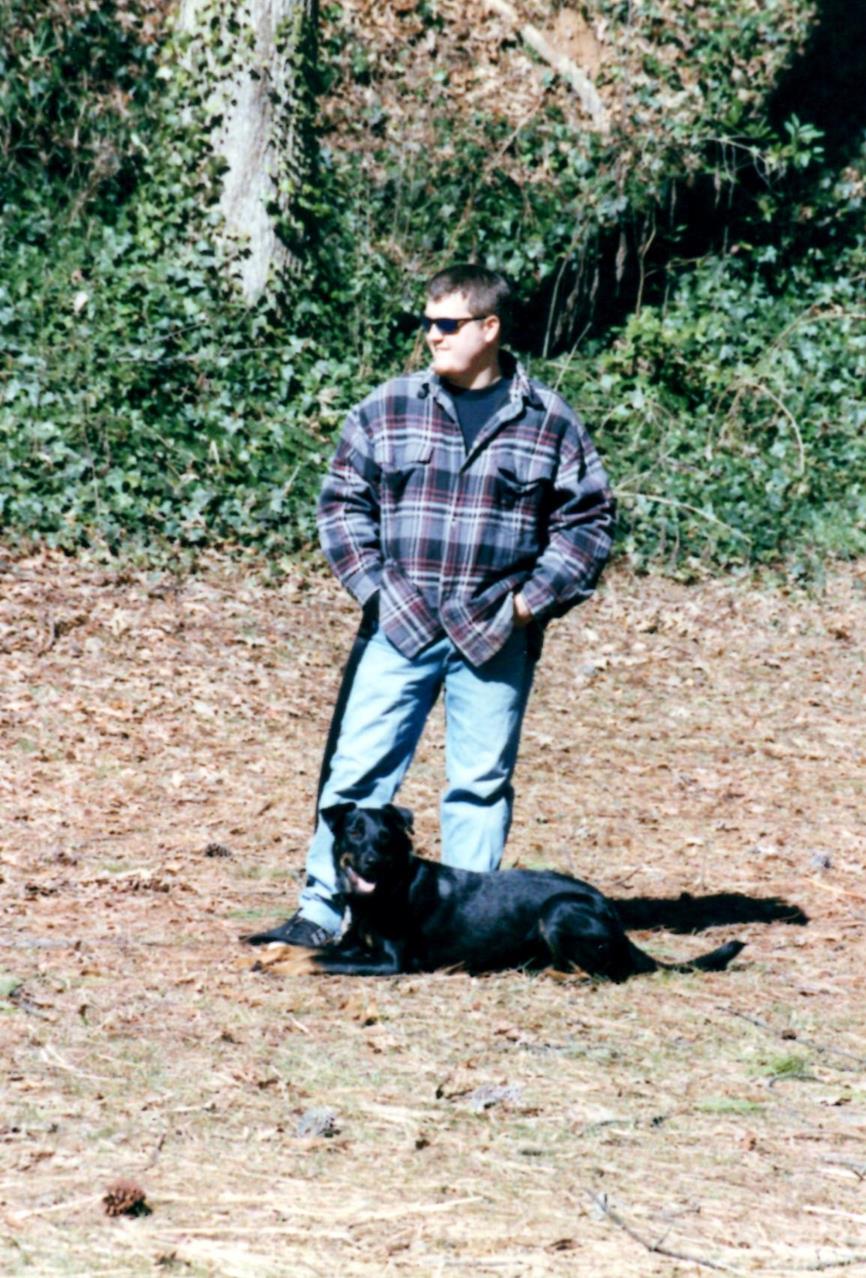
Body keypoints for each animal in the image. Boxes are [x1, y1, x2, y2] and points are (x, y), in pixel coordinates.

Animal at [258, 802, 745, 981]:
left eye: (387, 839)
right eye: (354, 833)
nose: (371, 862)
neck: (384, 892)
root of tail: (615, 918)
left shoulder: (390, 962)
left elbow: (318, 960)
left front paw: (281, 965)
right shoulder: (358, 945)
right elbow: (314, 948)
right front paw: (274, 953)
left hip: (557, 911)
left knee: (601, 973)